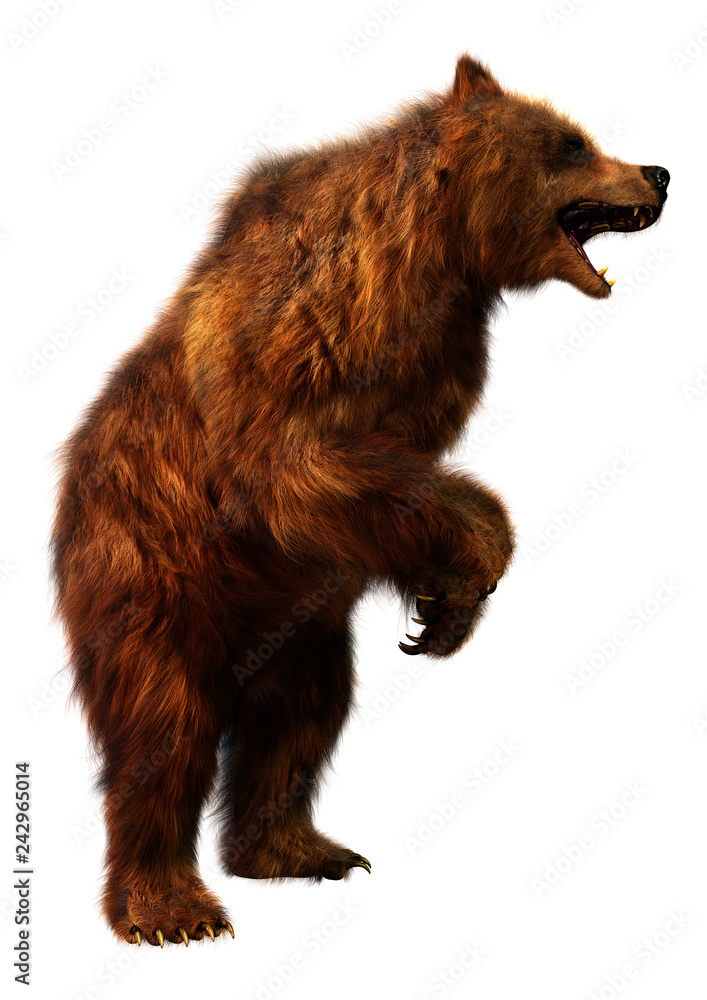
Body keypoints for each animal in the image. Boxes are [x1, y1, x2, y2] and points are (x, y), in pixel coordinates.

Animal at [50, 54, 669, 947]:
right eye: (570, 143)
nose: (658, 172)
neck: (436, 258)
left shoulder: (440, 355)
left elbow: (392, 488)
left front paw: (442, 612)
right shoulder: (300, 348)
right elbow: (304, 471)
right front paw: (475, 560)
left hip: (299, 628)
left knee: (302, 714)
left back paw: (298, 849)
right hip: (144, 574)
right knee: (163, 728)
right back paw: (169, 906)